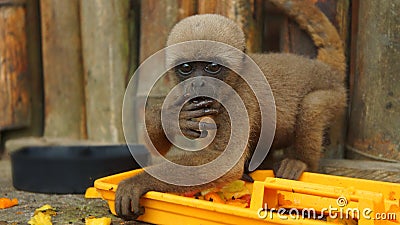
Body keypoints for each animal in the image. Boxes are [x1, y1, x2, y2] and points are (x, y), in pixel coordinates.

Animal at [115, 0, 346, 219]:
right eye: (187, 68)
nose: (198, 84)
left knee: (312, 106)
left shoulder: (239, 100)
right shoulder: (178, 92)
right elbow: (154, 146)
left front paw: (135, 183)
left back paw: (301, 162)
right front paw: (173, 118)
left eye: (212, 67)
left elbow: (225, 163)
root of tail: (325, 69)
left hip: (335, 95)